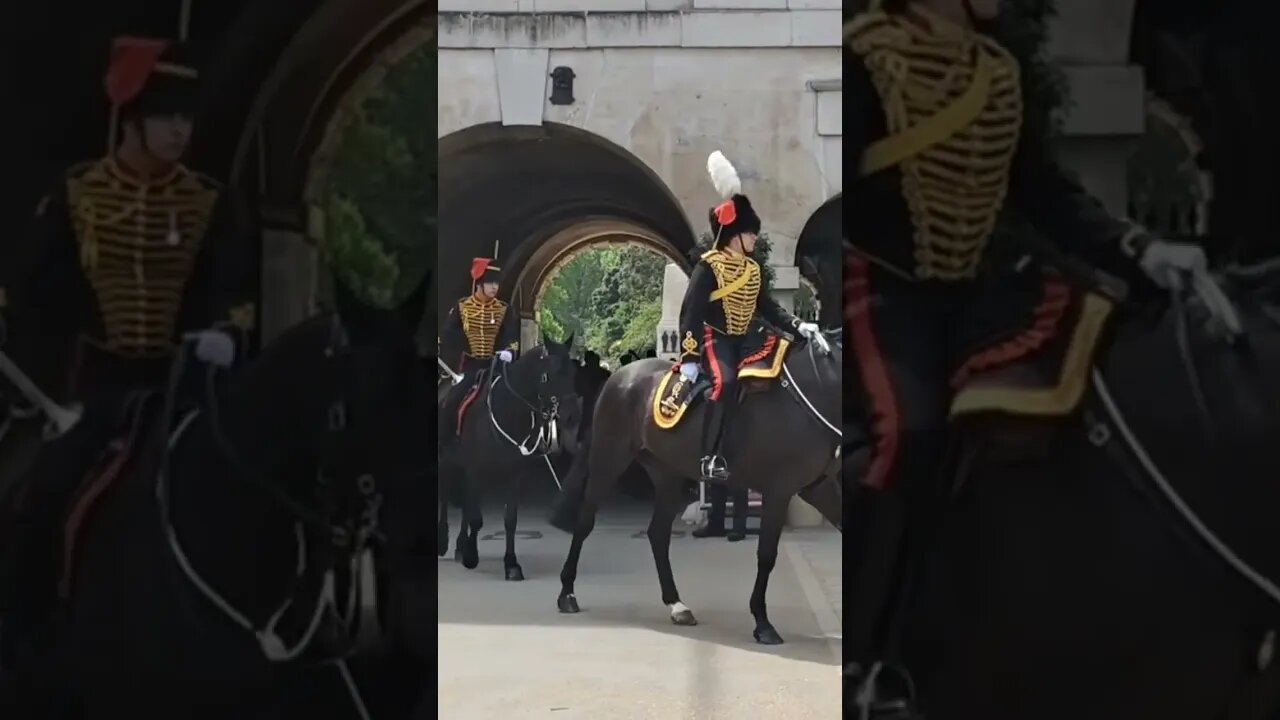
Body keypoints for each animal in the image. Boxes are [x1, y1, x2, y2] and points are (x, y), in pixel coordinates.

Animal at [440, 338, 581, 579]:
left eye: (572, 373)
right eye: (547, 376)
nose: (572, 415)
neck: (508, 410)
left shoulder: (514, 475)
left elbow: (510, 521)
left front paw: (511, 564)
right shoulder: (477, 470)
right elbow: (476, 518)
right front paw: (471, 556)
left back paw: (460, 546)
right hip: (446, 461)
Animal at [547, 330, 839, 645]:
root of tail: (618, 377)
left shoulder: (819, 488)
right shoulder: (779, 491)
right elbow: (766, 556)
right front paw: (762, 622)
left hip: (667, 473)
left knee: (658, 534)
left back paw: (676, 605)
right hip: (608, 459)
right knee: (585, 522)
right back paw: (567, 593)